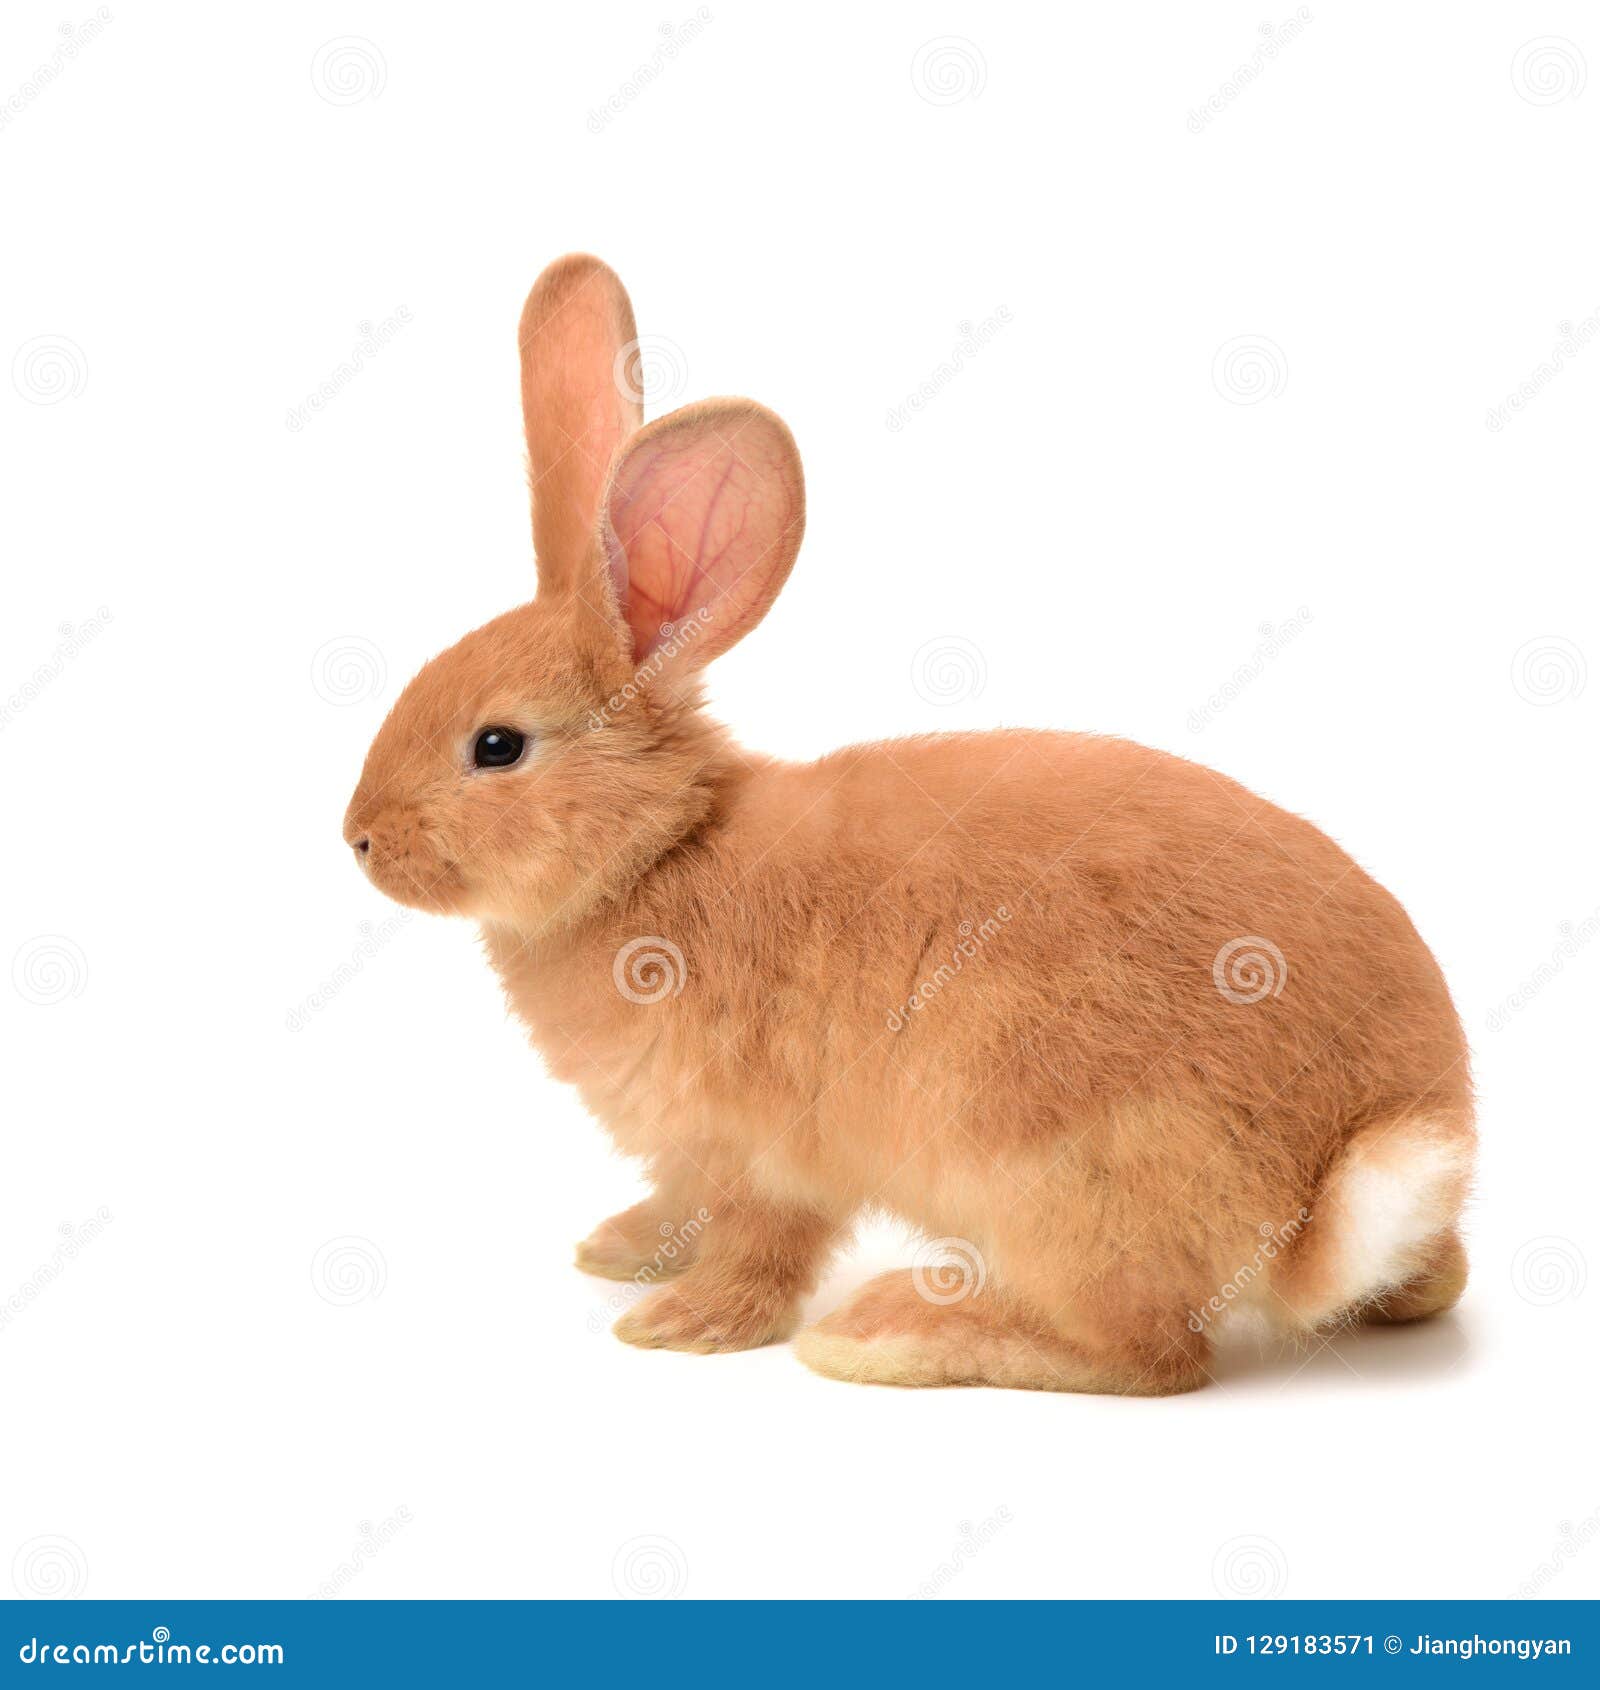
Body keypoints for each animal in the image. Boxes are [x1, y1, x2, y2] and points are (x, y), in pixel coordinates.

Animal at [348, 246, 1473, 1385]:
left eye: (497, 746)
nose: (358, 839)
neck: (657, 854)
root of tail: (1333, 1185)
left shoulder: (768, 1148)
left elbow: (760, 1239)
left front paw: (685, 1323)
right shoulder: (695, 1154)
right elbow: (680, 1203)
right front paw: (623, 1249)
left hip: (1052, 1172)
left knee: (1144, 1352)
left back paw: (893, 1331)